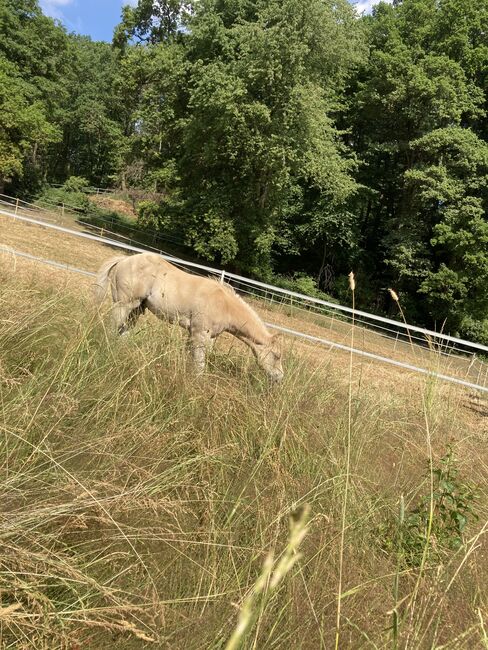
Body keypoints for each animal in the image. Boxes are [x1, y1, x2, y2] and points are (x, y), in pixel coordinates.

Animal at [94, 249, 284, 380]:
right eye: (276, 356)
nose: (279, 378)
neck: (224, 305)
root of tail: (124, 259)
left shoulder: (196, 334)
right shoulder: (200, 334)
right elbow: (199, 364)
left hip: (136, 310)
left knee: (123, 332)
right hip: (124, 305)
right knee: (112, 328)